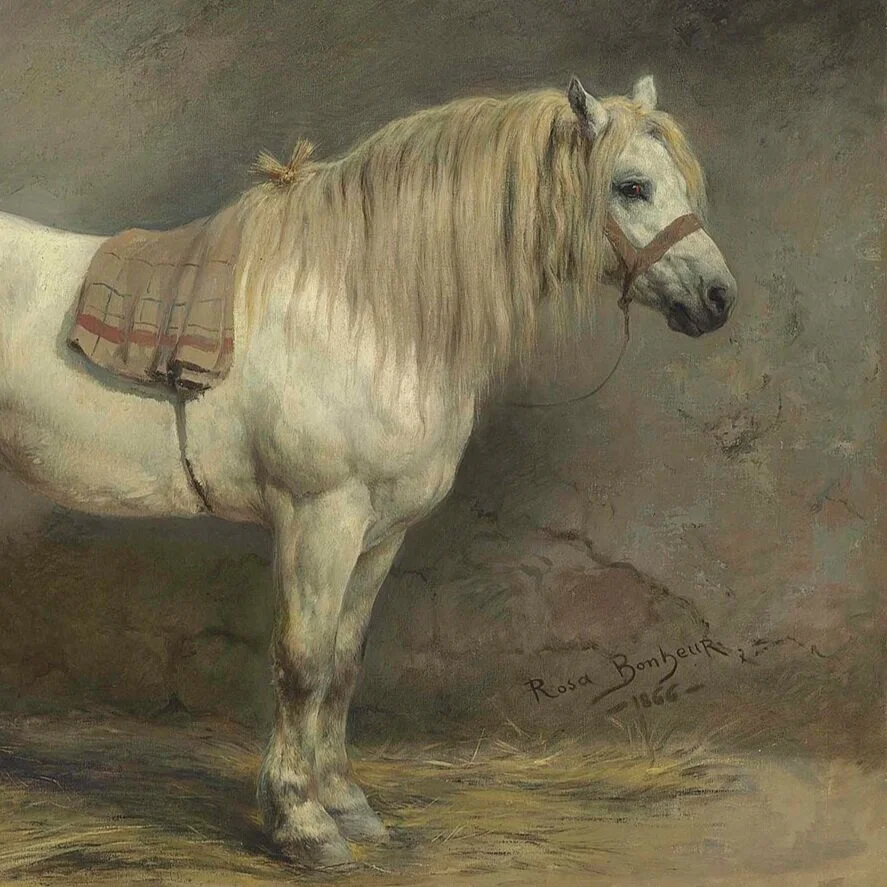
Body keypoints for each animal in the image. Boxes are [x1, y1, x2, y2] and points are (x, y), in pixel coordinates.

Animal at [0, 74, 736, 866]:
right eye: (631, 186)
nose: (719, 297)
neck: (365, 306)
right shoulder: (320, 516)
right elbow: (303, 662)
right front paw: (300, 820)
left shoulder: (381, 532)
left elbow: (345, 664)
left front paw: (346, 803)